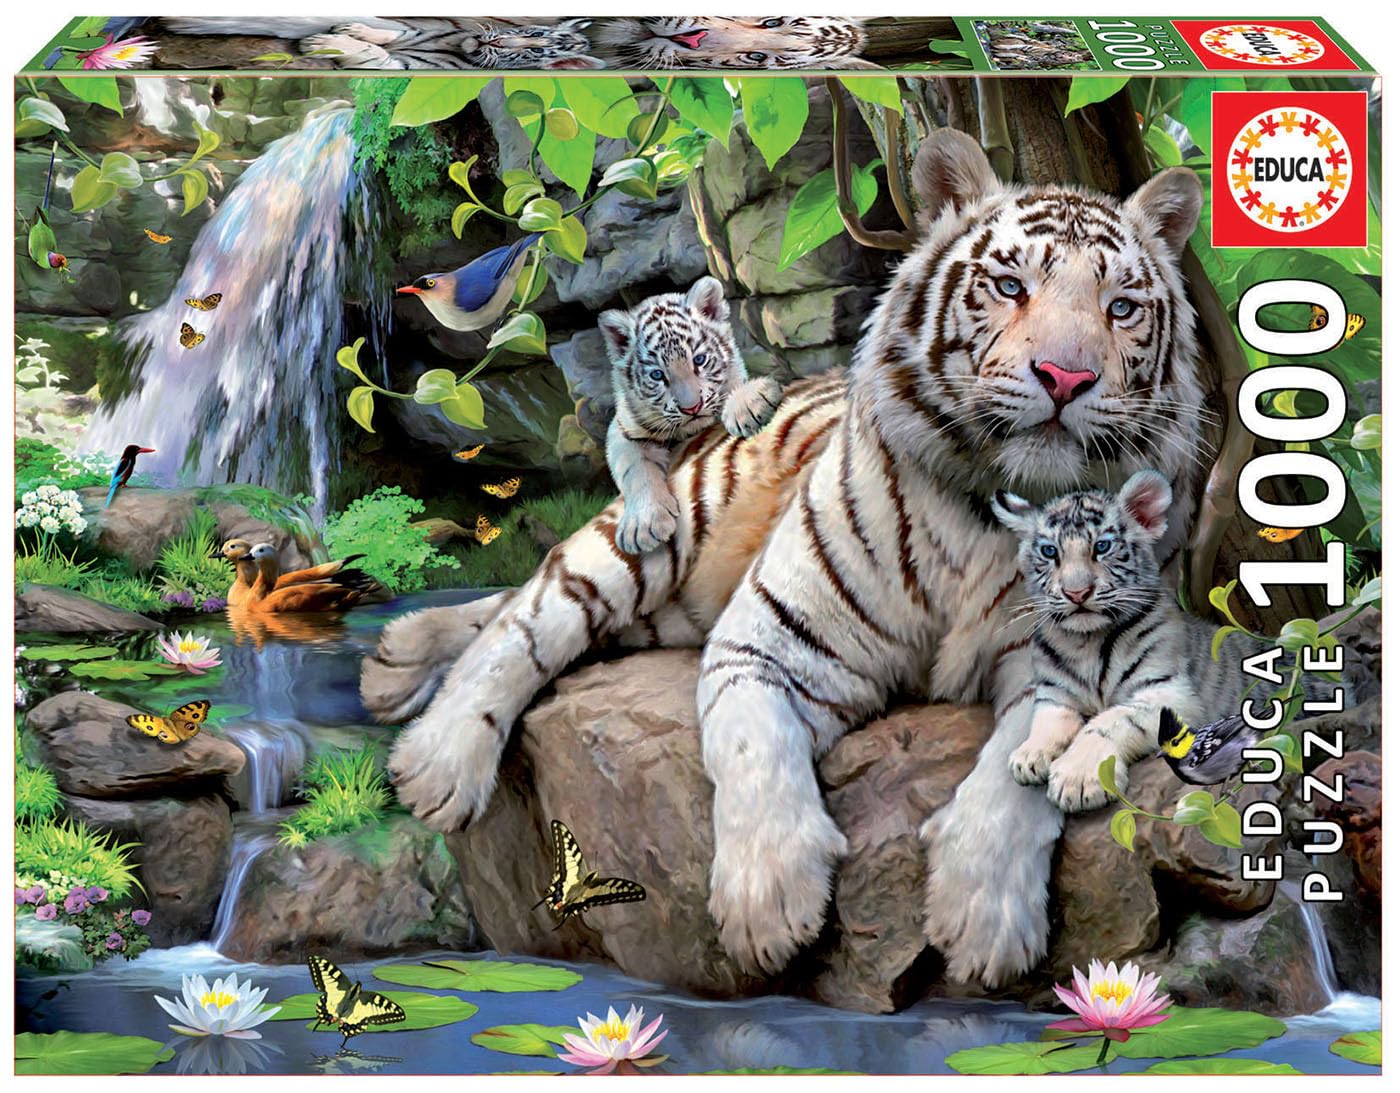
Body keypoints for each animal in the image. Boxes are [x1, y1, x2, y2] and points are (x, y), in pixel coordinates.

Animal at [600, 277, 783, 555]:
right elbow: (636, 469)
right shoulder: (623, 430)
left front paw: (749, 404)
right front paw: (644, 525)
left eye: (699, 360)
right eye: (657, 375)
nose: (692, 408)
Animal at [991, 469, 1343, 809]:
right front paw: (1030, 755)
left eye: (1102, 547)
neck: (1086, 642)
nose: (1076, 593)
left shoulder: (1169, 693)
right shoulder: (1056, 693)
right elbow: (1047, 719)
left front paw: (1076, 780)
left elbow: (1110, 720)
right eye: (1049, 551)